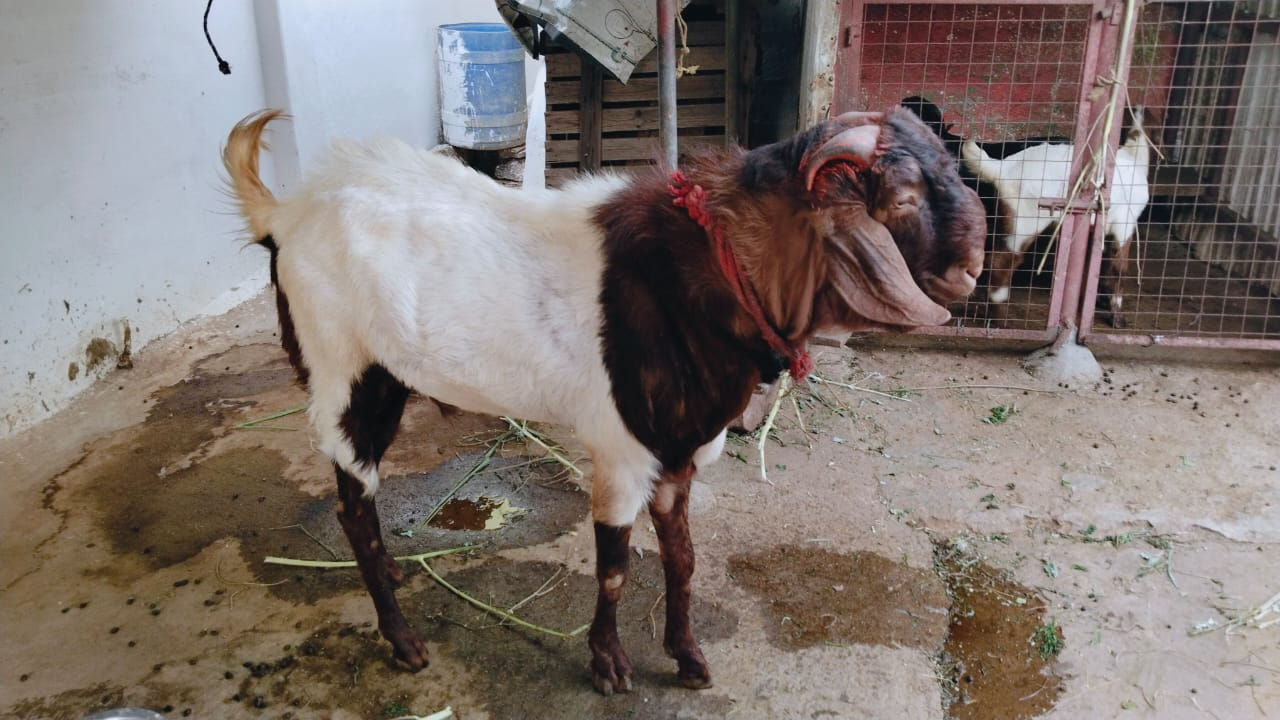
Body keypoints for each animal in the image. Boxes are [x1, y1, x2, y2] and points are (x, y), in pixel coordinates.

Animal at [222, 107, 985, 693]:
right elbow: (616, 563)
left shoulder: (682, 448)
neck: (712, 271)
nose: (974, 272)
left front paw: (688, 658)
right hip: (348, 378)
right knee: (356, 511)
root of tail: (285, 214)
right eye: (903, 199)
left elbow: (682, 558)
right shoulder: (621, 448)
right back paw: (403, 641)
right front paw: (610, 665)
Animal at [961, 107, 1150, 327]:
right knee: (1001, 262)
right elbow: (1118, 268)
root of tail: (1002, 168)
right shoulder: (1124, 223)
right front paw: (1117, 317)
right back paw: (1000, 319)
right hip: (1024, 218)